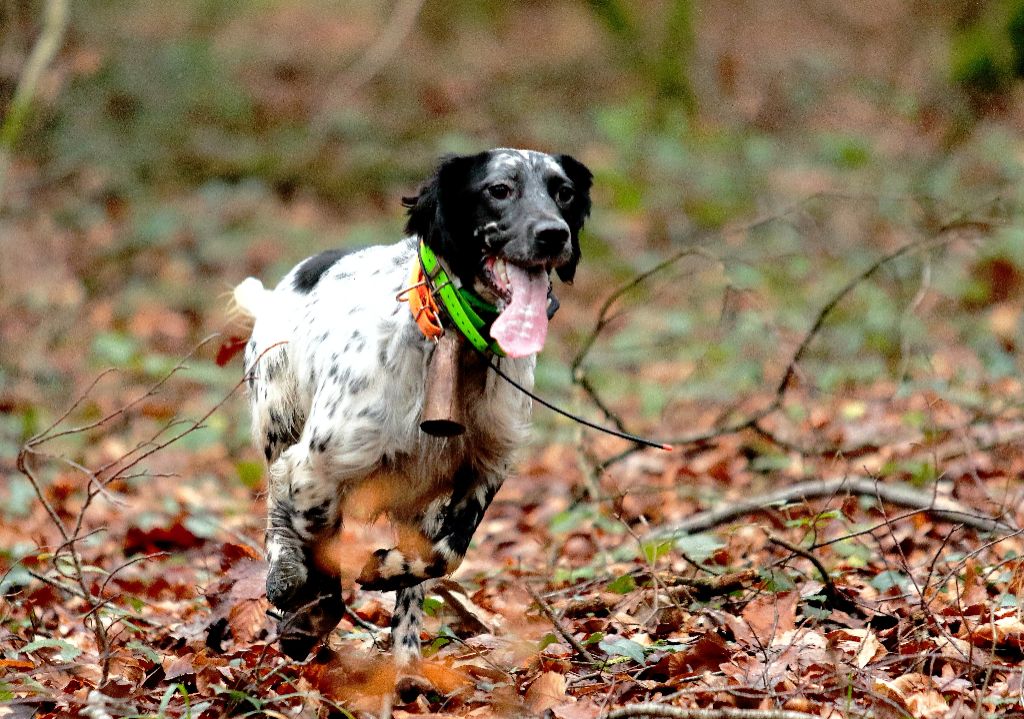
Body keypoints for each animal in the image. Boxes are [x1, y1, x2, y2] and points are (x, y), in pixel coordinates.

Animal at [234, 147, 593, 671]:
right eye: (499, 189)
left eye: (563, 192)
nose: (554, 234)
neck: (452, 336)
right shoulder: (319, 462)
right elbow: (316, 537)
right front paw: (310, 609)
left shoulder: (484, 466)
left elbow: (444, 553)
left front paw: (385, 569)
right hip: (280, 422)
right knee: (279, 501)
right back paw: (287, 573)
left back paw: (408, 666)